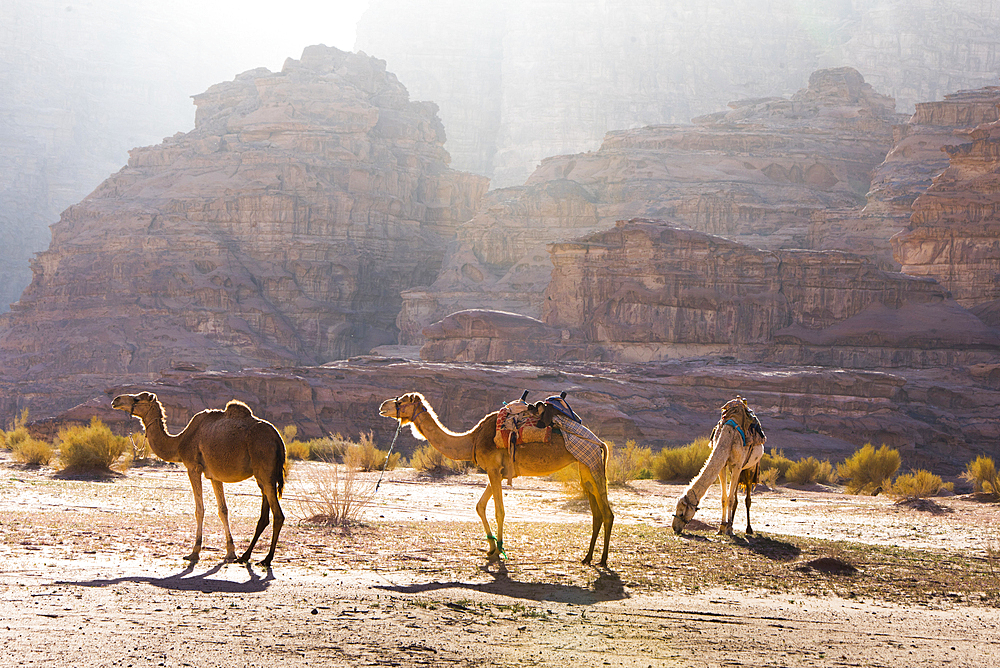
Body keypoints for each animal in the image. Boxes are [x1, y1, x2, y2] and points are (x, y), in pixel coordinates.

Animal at [112, 392, 288, 568]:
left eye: (137, 399)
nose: (116, 400)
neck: (179, 442)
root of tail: (278, 439)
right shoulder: (215, 475)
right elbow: (223, 510)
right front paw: (230, 552)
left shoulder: (193, 467)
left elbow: (199, 510)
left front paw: (194, 552)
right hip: (264, 476)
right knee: (264, 515)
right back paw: (245, 556)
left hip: (264, 468)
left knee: (278, 515)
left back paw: (267, 559)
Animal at [672, 396, 764, 536]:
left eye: (681, 513)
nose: (675, 528)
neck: (729, 435)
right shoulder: (724, 467)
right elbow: (724, 498)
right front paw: (721, 528)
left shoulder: (738, 465)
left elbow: (731, 499)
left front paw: (729, 529)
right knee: (735, 496)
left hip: (750, 467)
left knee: (747, 496)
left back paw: (748, 529)